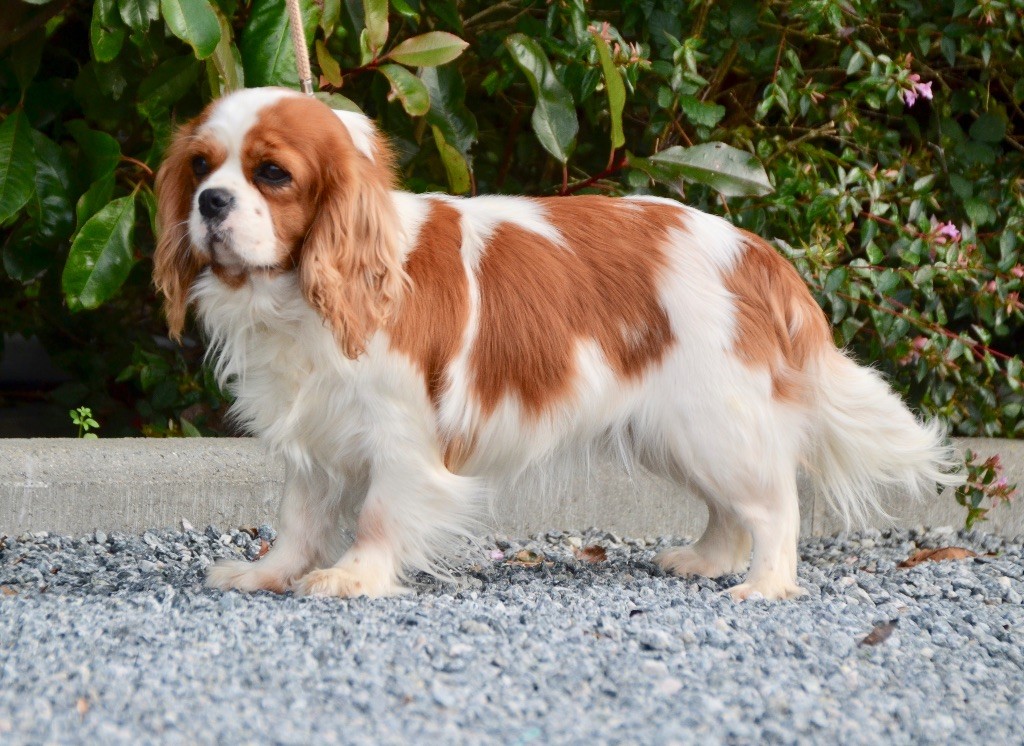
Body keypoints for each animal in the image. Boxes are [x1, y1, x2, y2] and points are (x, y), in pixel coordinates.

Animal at [151, 87, 958, 597]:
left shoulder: (401, 435)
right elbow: (297, 517)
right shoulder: (316, 438)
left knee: (775, 504)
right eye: (200, 166)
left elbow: (379, 513)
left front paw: (355, 577)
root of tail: (757, 253)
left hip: (710, 421)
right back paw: (705, 561)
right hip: (674, 430)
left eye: (273, 173)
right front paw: (267, 574)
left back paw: (765, 585)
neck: (300, 298)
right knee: (732, 509)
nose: (211, 202)